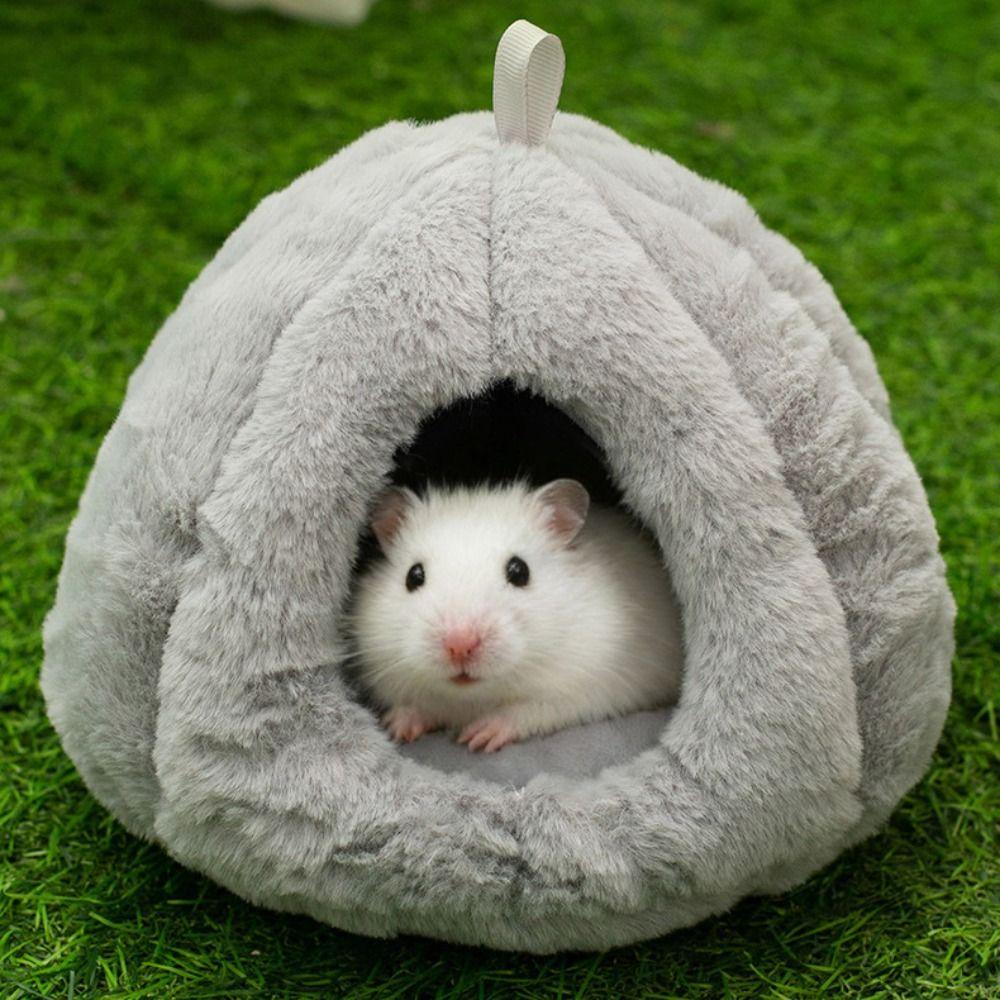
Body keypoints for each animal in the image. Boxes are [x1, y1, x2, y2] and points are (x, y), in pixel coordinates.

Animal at [350, 479, 684, 753]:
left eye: (519, 571)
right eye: (414, 576)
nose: (460, 645)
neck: (472, 698)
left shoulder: (588, 685)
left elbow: (529, 709)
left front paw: (478, 737)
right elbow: (418, 703)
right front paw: (396, 728)